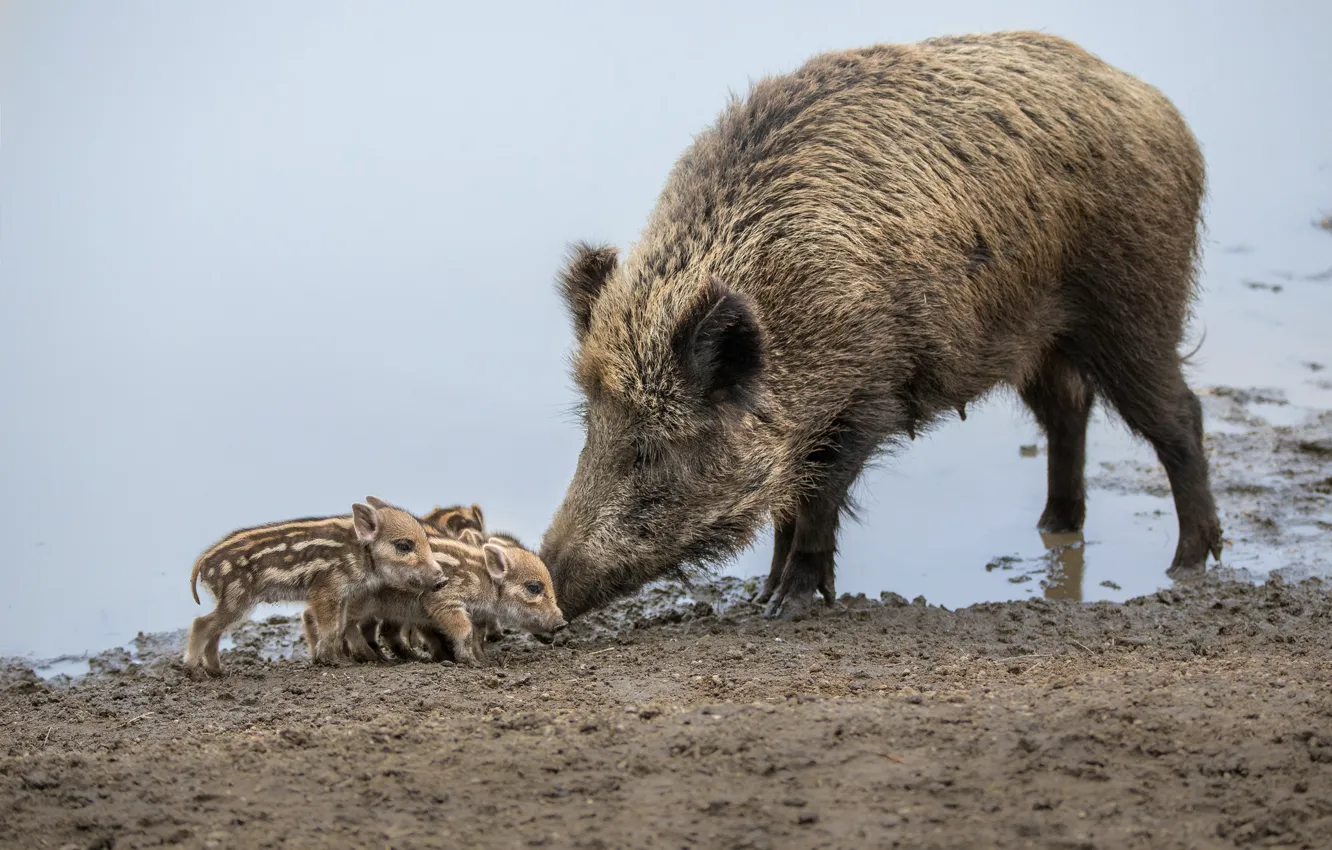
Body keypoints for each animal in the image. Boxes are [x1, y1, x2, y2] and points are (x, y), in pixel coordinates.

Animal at [185, 496, 448, 675]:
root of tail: (203, 562)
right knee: (201, 624)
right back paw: (195, 672)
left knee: (214, 631)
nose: (442, 580)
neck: (361, 553)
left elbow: (340, 625)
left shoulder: (342, 594)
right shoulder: (326, 588)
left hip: (231, 601)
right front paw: (335, 662)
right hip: (236, 598)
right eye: (404, 545)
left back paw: (218, 672)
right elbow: (331, 628)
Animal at [341, 534, 566, 666]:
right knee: (348, 625)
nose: (562, 623)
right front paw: (470, 662)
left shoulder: (478, 615)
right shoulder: (444, 600)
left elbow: (477, 636)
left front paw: (483, 660)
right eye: (534, 588)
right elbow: (464, 630)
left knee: (385, 632)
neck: (487, 582)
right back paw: (364, 657)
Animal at [539, 31, 1224, 620]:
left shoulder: (865, 397)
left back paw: (1189, 564)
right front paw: (763, 595)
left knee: (1179, 416)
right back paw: (1053, 527)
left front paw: (786, 604)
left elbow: (815, 502)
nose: (547, 577)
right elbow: (787, 506)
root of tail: (1164, 111)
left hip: (1135, 305)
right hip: (1039, 336)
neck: (786, 317)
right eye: (591, 427)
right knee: (1068, 412)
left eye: (651, 450)